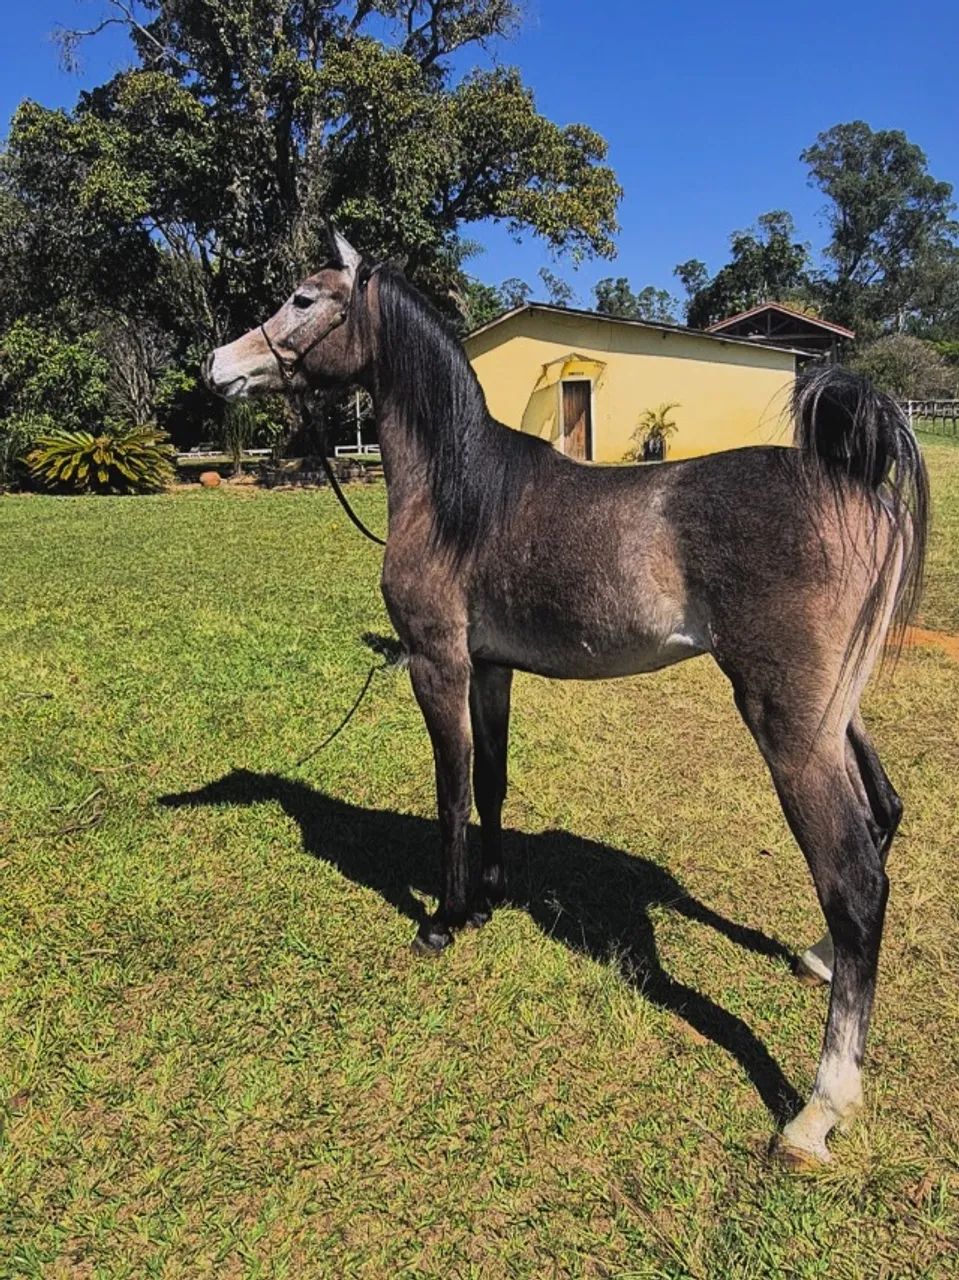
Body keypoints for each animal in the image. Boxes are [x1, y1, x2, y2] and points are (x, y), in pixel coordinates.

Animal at [202, 228, 928, 1167]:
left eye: (302, 299)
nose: (218, 366)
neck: (460, 492)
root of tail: (855, 485)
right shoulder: (490, 668)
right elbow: (491, 782)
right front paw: (488, 895)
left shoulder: (437, 663)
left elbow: (450, 790)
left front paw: (443, 917)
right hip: (838, 716)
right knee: (880, 821)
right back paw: (816, 960)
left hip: (789, 730)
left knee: (851, 879)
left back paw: (817, 1110)